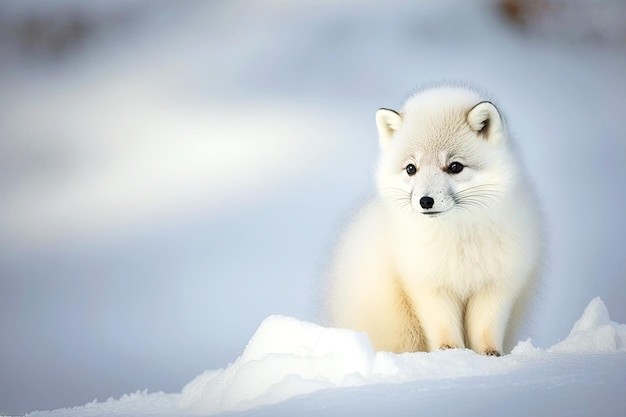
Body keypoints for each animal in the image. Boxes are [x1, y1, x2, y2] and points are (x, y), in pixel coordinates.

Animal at [324, 84, 540, 354]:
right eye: (411, 168)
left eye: (455, 166)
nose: (425, 201)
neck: (458, 242)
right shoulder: (429, 287)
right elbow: (443, 329)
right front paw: (451, 353)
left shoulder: (496, 285)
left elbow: (485, 330)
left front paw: (489, 355)